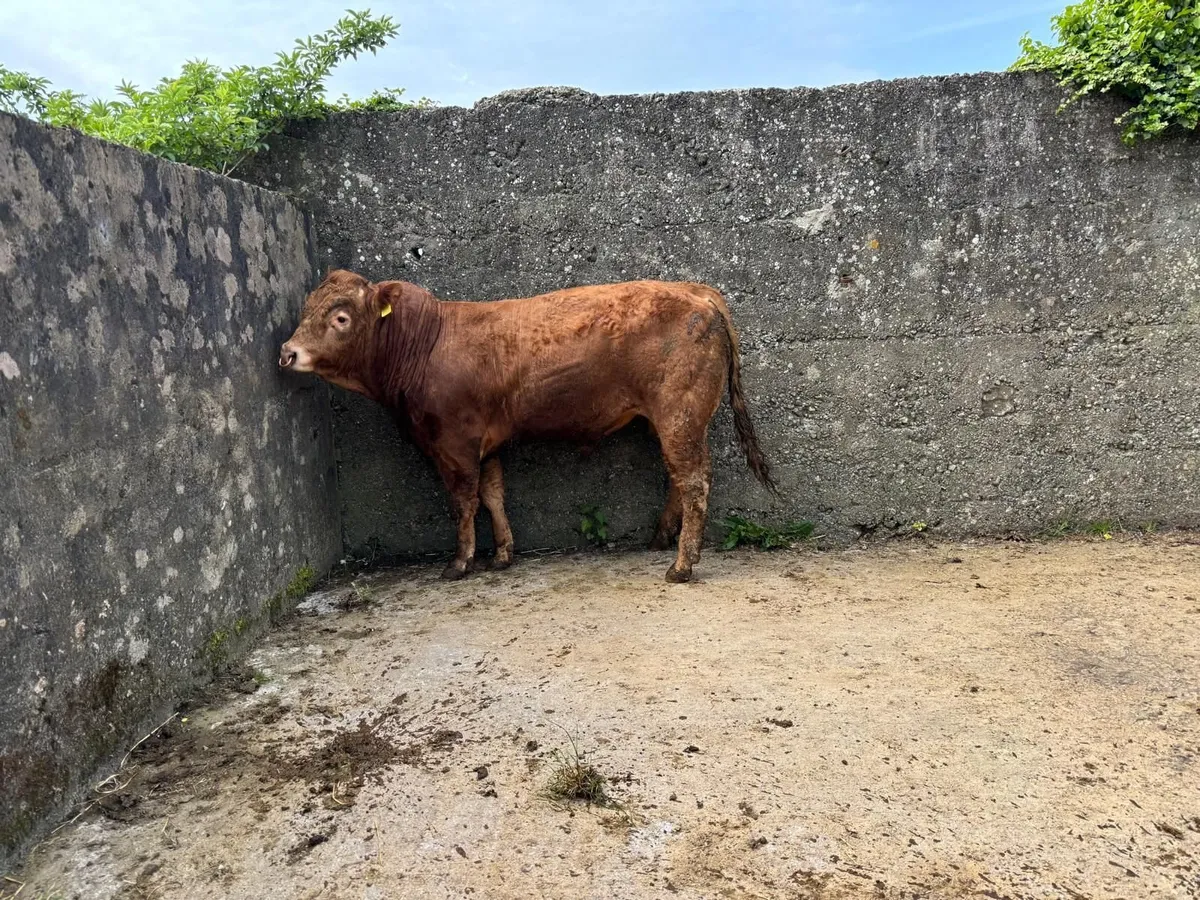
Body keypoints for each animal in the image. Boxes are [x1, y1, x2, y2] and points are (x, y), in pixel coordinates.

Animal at [279, 269, 776, 583]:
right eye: (305, 310)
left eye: (340, 318)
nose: (287, 352)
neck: (426, 342)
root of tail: (695, 290)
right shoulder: (485, 441)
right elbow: (493, 493)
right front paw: (502, 554)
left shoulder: (454, 442)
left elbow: (463, 502)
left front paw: (459, 563)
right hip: (668, 421)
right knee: (678, 478)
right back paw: (660, 539)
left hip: (680, 414)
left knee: (694, 480)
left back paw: (682, 565)